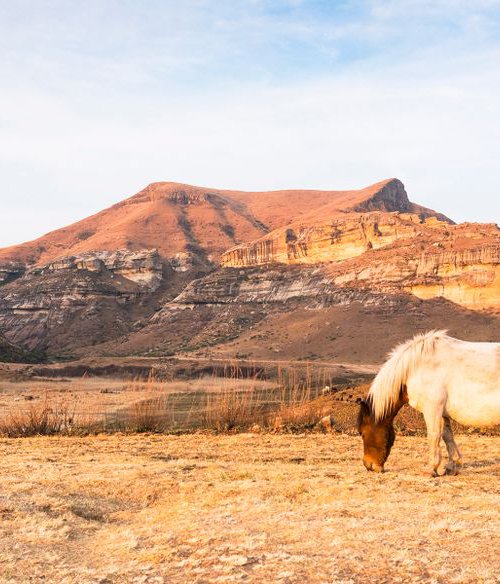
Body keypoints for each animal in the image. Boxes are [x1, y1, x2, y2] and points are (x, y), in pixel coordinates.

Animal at [358, 328, 500, 474]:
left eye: (362, 433)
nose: (368, 465)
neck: (415, 368)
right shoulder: (442, 413)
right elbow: (447, 436)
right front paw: (452, 466)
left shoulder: (432, 409)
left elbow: (433, 436)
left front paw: (431, 468)